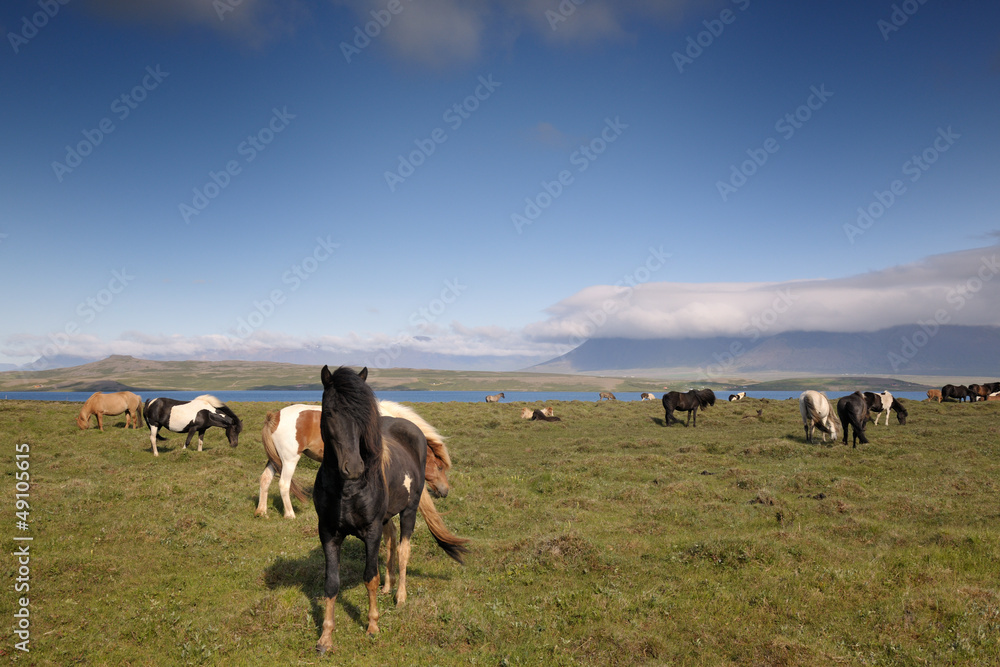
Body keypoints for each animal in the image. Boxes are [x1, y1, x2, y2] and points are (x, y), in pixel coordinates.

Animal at [256, 400, 454, 519]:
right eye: (439, 467)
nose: (445, 491)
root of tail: (275, 417)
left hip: (275, 460)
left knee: (265, 479)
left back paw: (262, 511)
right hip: (289, 460)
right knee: (283, 485)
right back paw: (289, 514)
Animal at [314, 366, 467, 654]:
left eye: (363, 414)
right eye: (329, 412)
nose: (354, 467)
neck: (347, 489)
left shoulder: (371, 530)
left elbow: (369, 577)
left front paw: (373, 625)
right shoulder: (328, 533)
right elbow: (331, 583)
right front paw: (325, 638)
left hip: (409, 511)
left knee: (404, 550)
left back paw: (400, 596)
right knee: (391, 543)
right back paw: (389, 585)